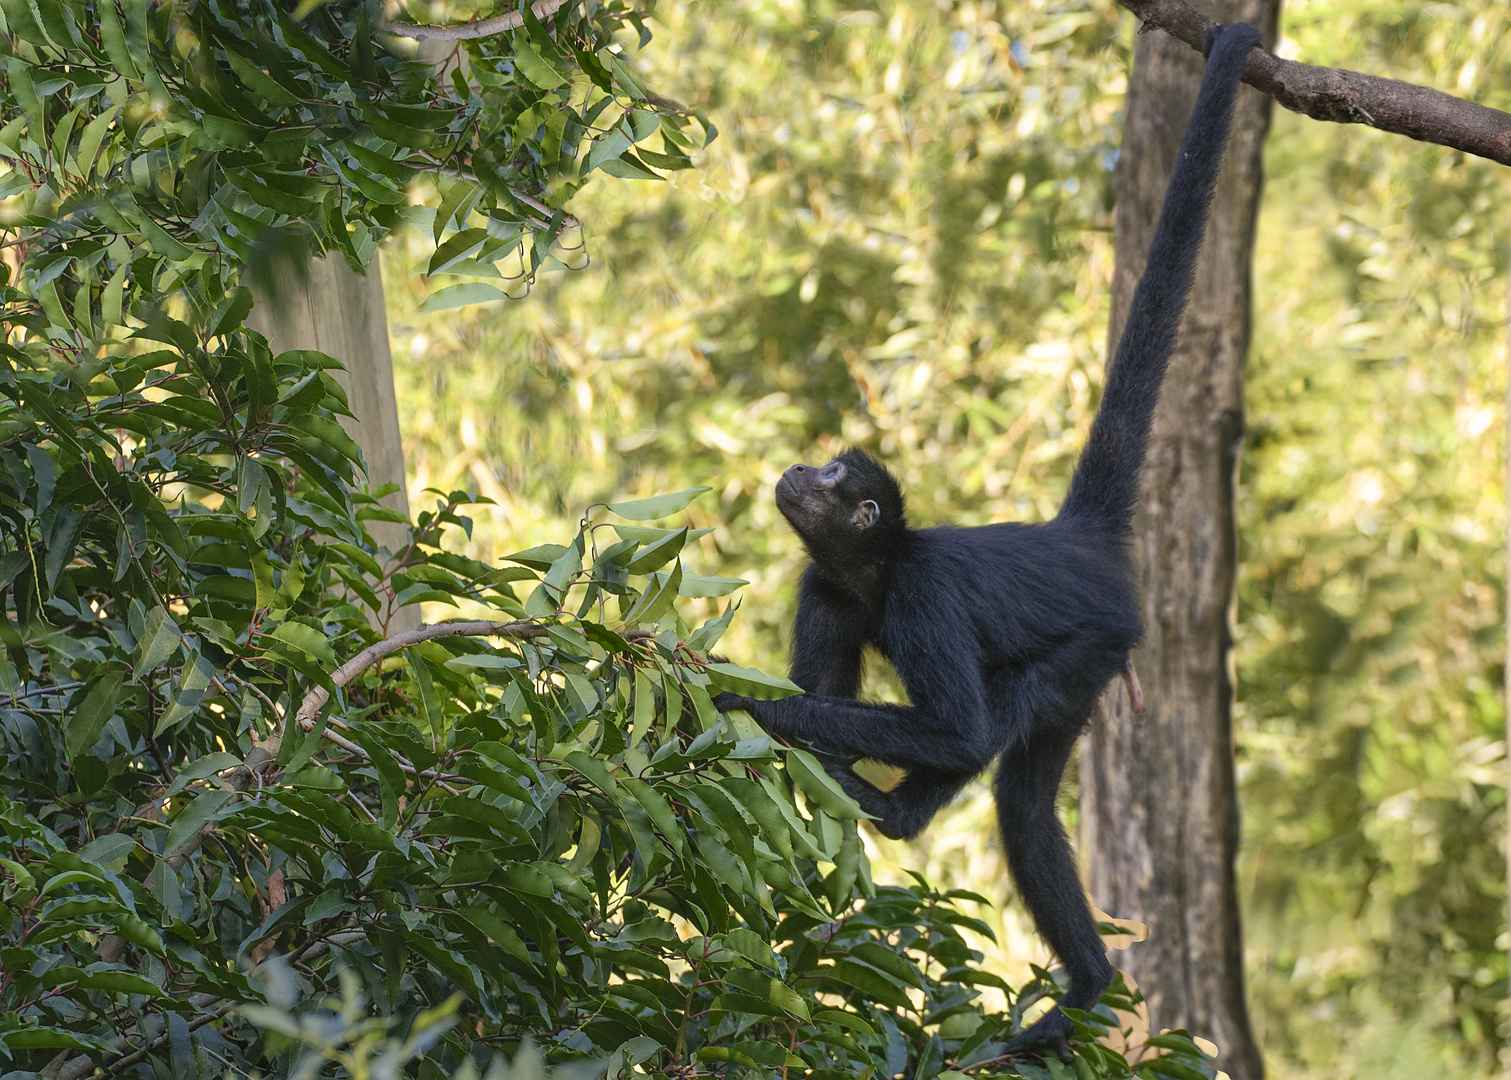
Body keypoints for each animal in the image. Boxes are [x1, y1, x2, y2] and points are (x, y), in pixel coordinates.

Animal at [716, 23, 1263, 1063]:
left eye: (835, 478)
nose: (801, 471)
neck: (875, 570)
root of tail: (1074, 538)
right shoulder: (825, 589)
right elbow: (832, 690)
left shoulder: (921, 592)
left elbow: (956, 726)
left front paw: (747, 705)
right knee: (1027, 788)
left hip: (1095, 642)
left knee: (1003, 751)